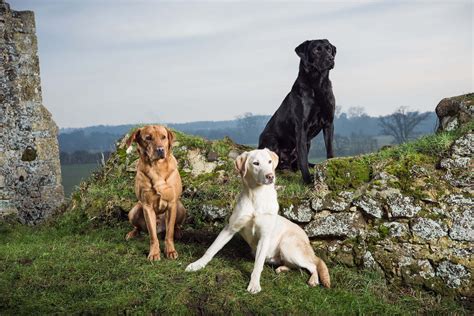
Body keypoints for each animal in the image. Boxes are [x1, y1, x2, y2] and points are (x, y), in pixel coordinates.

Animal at [260, 39, 336, 184]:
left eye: (329, 49)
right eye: (316, 50)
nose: (331, 58)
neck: (318, 84)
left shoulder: (329, 123)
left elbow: (330, 149)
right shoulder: (301, 126)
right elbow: (303, 159)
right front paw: (308, 181)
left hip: (308, 142)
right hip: (271, 140)